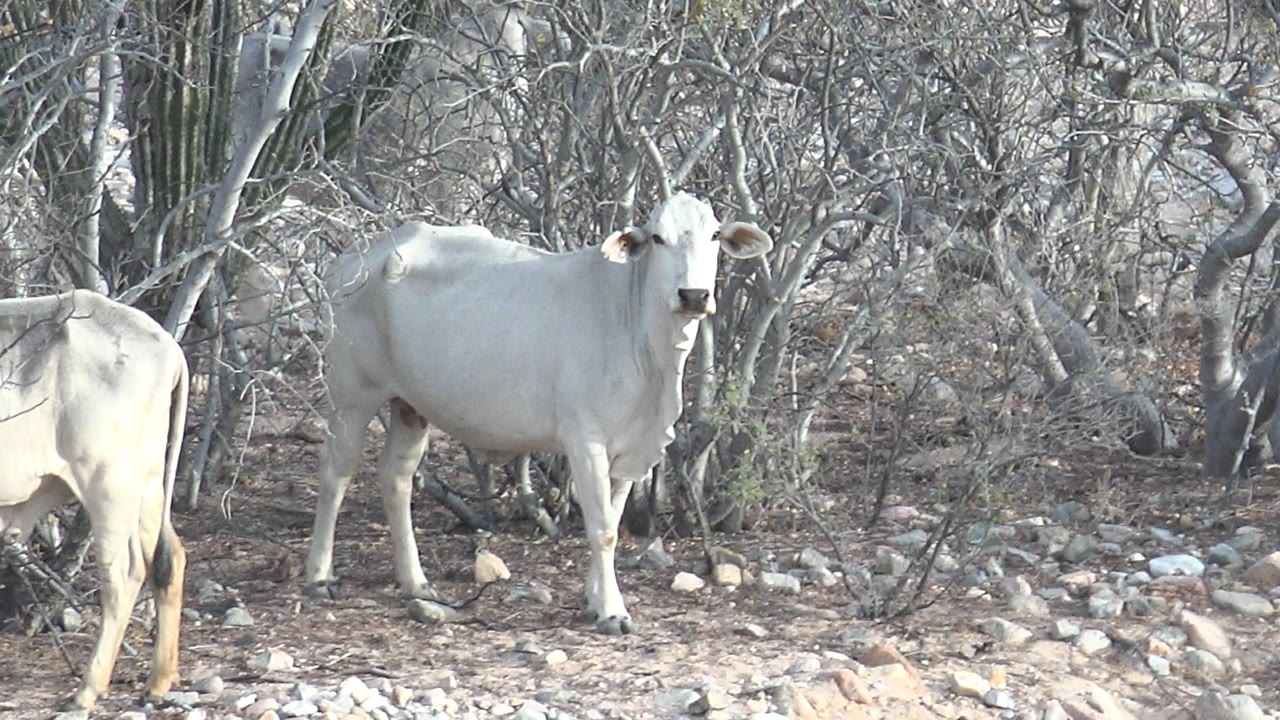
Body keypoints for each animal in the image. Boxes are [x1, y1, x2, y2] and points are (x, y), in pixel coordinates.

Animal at [0, 290, 188, 709]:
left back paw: (88, 688)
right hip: (147, 484)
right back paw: (159, 679)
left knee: (123, 575)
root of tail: (168, 346)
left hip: (108, 483)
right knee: (168, 561)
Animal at [305, 192, 772, 633]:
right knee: (336, 473)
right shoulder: (585, 438)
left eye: (714, 236)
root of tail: (357, 255)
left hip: (410, 405)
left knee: (396, 478)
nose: (694, 295)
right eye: (658, 238)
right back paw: (319, 576)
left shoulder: (629, 447)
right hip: (351, 394)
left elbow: (612, 518)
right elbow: (602, 527)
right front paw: (612, 611)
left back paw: (416, 581)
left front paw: (594, 599)